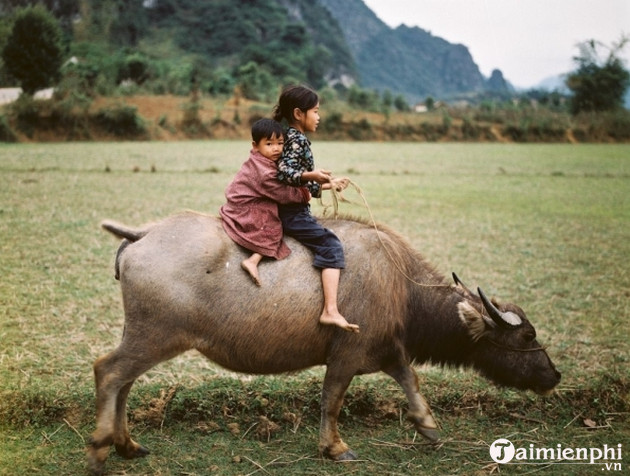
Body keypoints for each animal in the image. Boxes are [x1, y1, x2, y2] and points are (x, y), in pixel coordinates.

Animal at [86, 213, 560, 476]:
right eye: (527, 335)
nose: (554, 375)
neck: (401, 287)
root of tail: (143, 235)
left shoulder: (388, 349)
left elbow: (411, 381)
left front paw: (428, 427)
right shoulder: (346, 355)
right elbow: (332, 399)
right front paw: (335, 448)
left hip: (143, 335)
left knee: (123, 382)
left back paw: (127, 445)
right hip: (157, 336)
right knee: (108, 372)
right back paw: (100, 450)